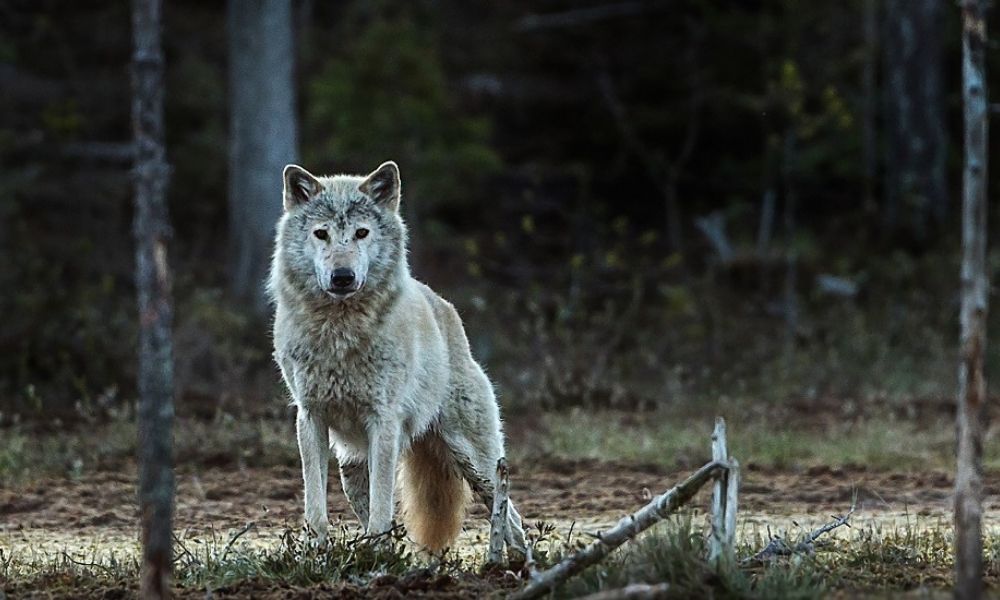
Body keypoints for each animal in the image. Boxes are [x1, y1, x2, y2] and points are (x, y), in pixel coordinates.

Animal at [268, 161, 532, 552]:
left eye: (361, 233)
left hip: (476, 462)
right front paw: (318, 551)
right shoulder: (310, 418)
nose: (342, 276)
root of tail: (446, 308)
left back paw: (513, 562)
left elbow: (382, 508)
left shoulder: (384, 421)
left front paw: (375, 552)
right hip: (351, 469)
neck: (340, 333)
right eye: (322, 234)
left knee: (511, 517)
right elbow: (315, 505)